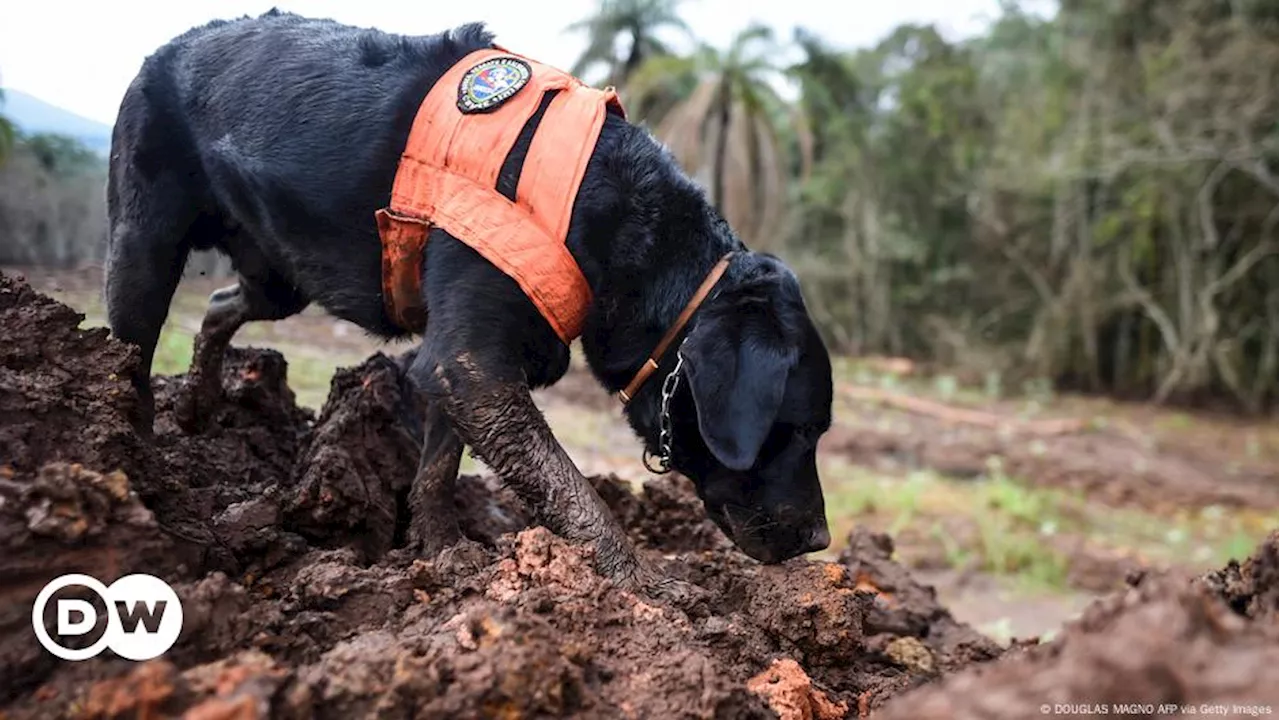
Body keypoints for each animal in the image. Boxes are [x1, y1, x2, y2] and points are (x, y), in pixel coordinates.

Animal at [104, 9, 834, 584]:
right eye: (799, 430)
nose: (822, 540)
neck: (621, 217)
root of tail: (173, 45)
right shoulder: (473, 365)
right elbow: (575, 496)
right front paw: (644, 588)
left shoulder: (458, 367)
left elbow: (439, 465)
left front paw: (442, 551)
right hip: (144, 242)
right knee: (128, 355)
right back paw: (133, 465)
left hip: (278, 275)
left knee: (220, 306)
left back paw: (197, 405)